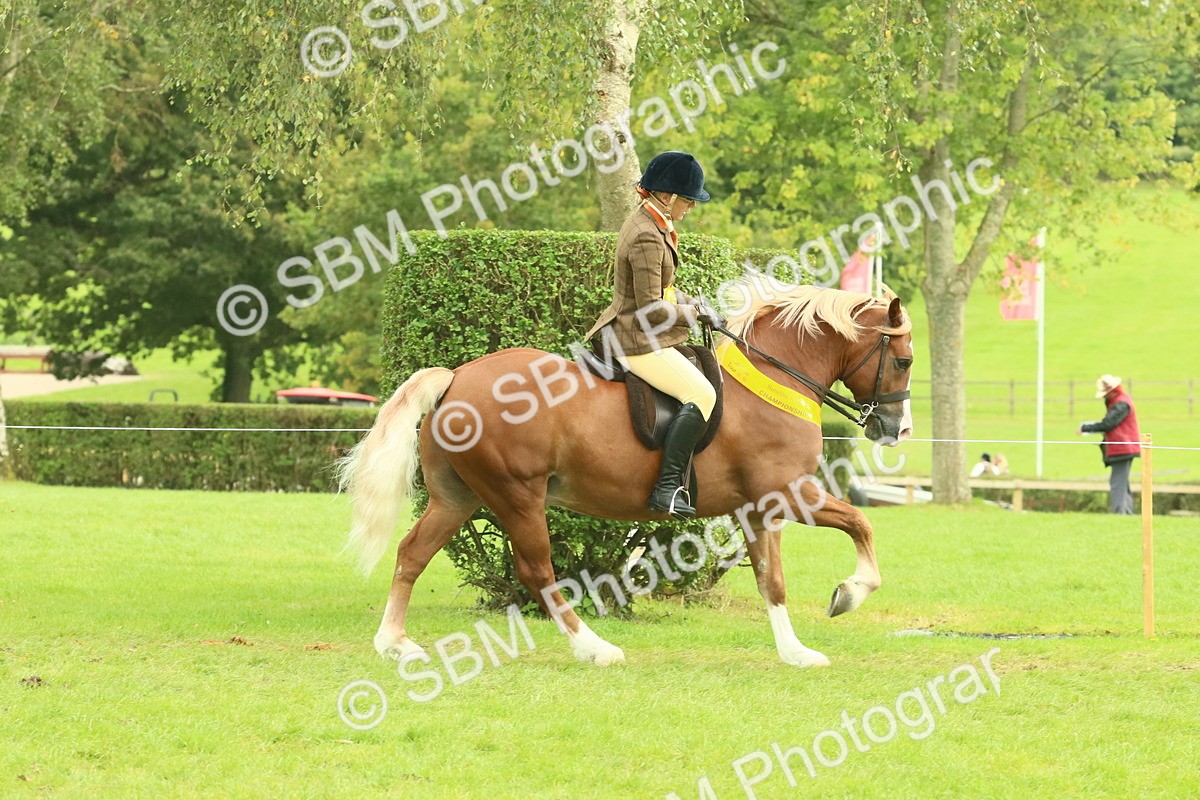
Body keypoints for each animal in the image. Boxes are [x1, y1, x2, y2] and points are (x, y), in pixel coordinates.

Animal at [338, 284, 914, 668]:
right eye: (905, 362)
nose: (897, 429)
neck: (774, 377)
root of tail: (456, 377)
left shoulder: (758, 508)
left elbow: (771, 579)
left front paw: (795, 651)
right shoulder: (787, 494)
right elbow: (859, 525)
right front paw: (849, 595)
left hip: (456, 497)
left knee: (412, 552)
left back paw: (394, 643)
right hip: (517, 495)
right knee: (537, 572)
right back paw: (595, 648)